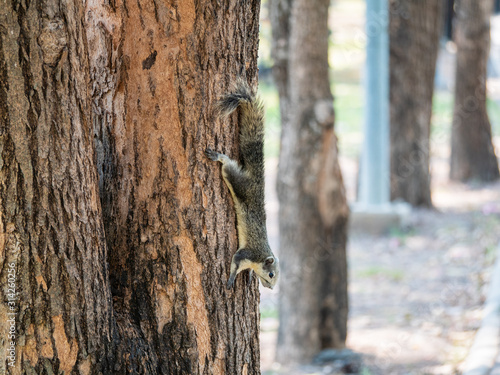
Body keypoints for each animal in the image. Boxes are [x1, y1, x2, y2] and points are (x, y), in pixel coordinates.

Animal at [205, 80, 280, 290]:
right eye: (271, 274)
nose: (271, 288)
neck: (261, 256)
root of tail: (257, 181)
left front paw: (249, 276)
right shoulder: (248, 253)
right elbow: (235, 261)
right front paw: (231, 278)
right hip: (238, 181)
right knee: (228, 167)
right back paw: (219, 157)